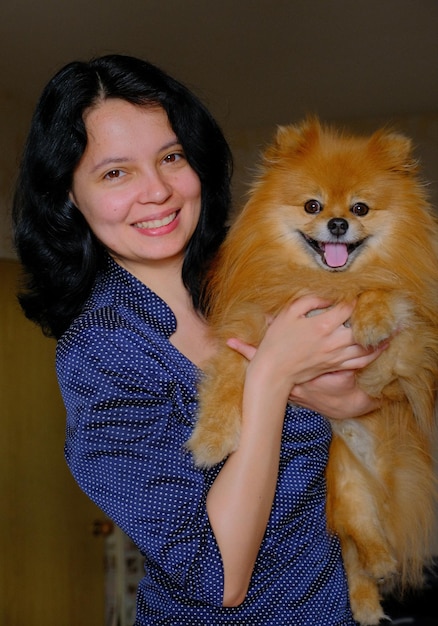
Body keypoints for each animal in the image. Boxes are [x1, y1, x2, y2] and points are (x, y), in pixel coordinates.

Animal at [187, 118, 438, 624]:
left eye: (360, 208)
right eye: (313, 206)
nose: (338, 223)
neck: (327, 283)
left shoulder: (405, 355)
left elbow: (391, 304)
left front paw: (372, 317)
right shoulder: (252, 332)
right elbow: (229, 378)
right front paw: (212, 438)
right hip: (344, 481)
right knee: (357, 542)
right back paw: (371, 586)